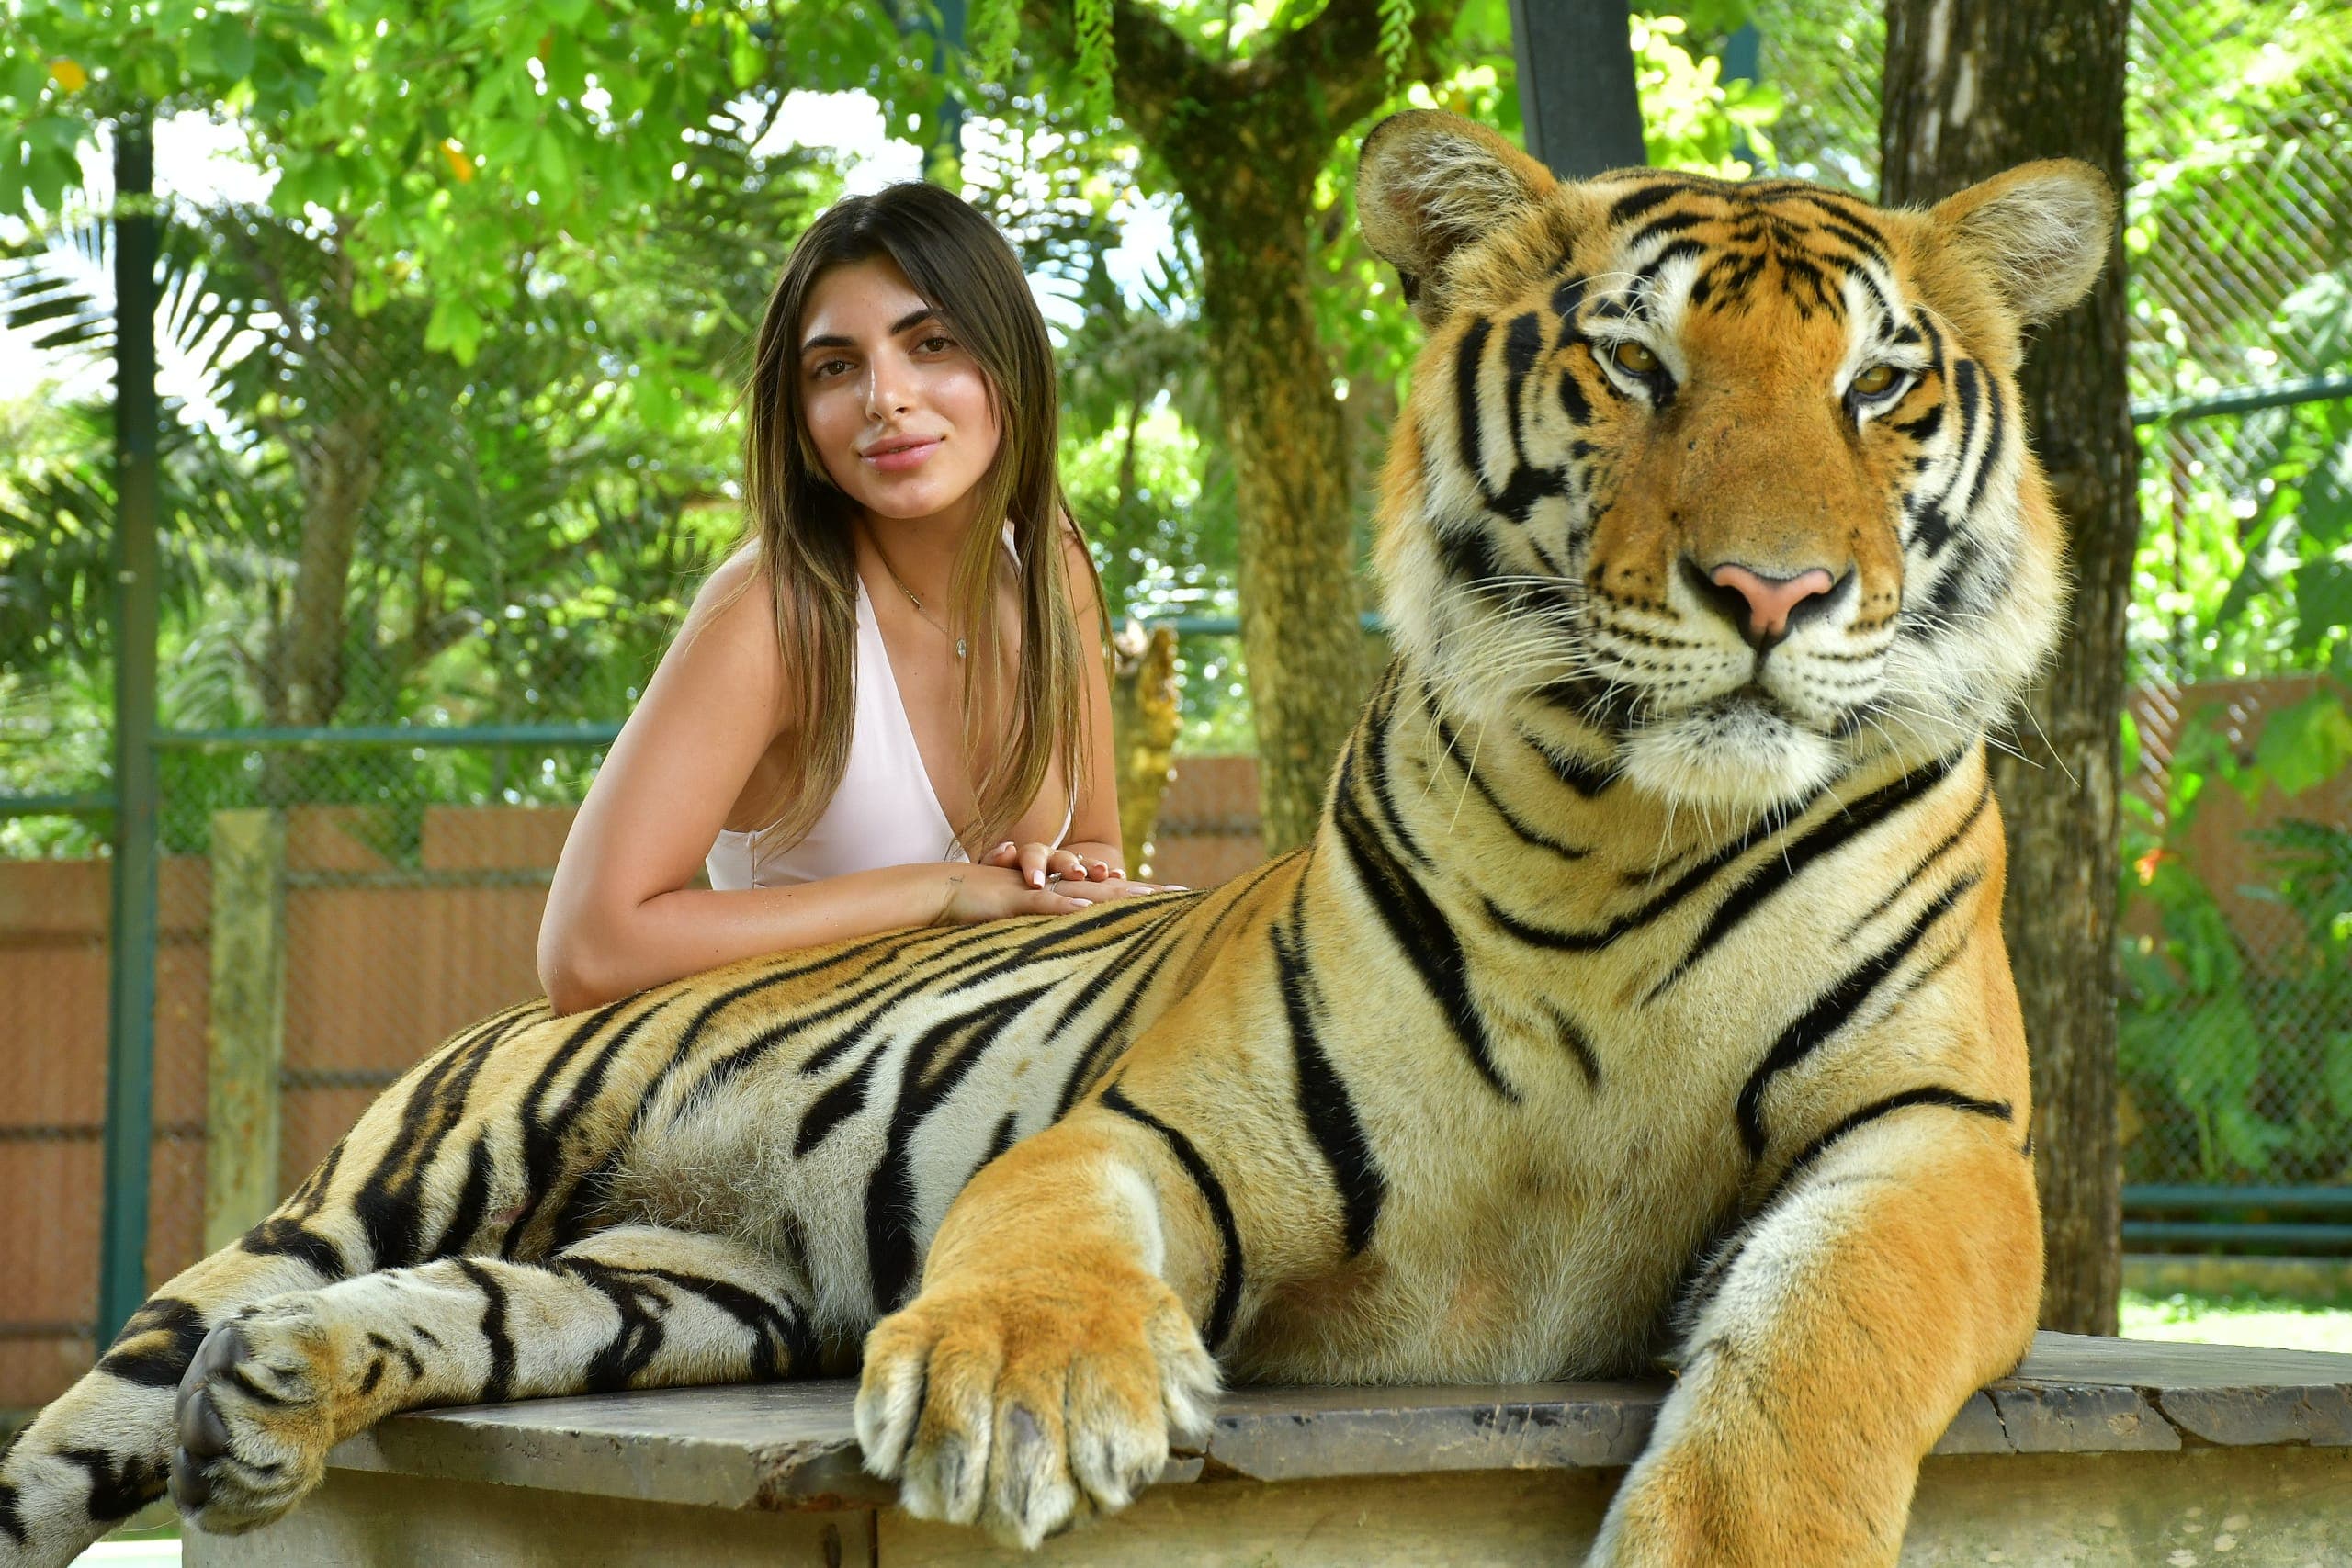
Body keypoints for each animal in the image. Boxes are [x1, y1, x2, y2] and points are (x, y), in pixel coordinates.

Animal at [0, 108, 2112, 1567]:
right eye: (1634, 365)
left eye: (1879, 385)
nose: (1773, 591)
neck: (1630, 829)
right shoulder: (1176, 1114)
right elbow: (1042, 1218)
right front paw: (1018, 1391)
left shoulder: (1935, 1144)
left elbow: (1823, 1349)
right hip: (392, 1181)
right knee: (96, 1407)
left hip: (665, 1284)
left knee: (450, 1312)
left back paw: (277, 1397)